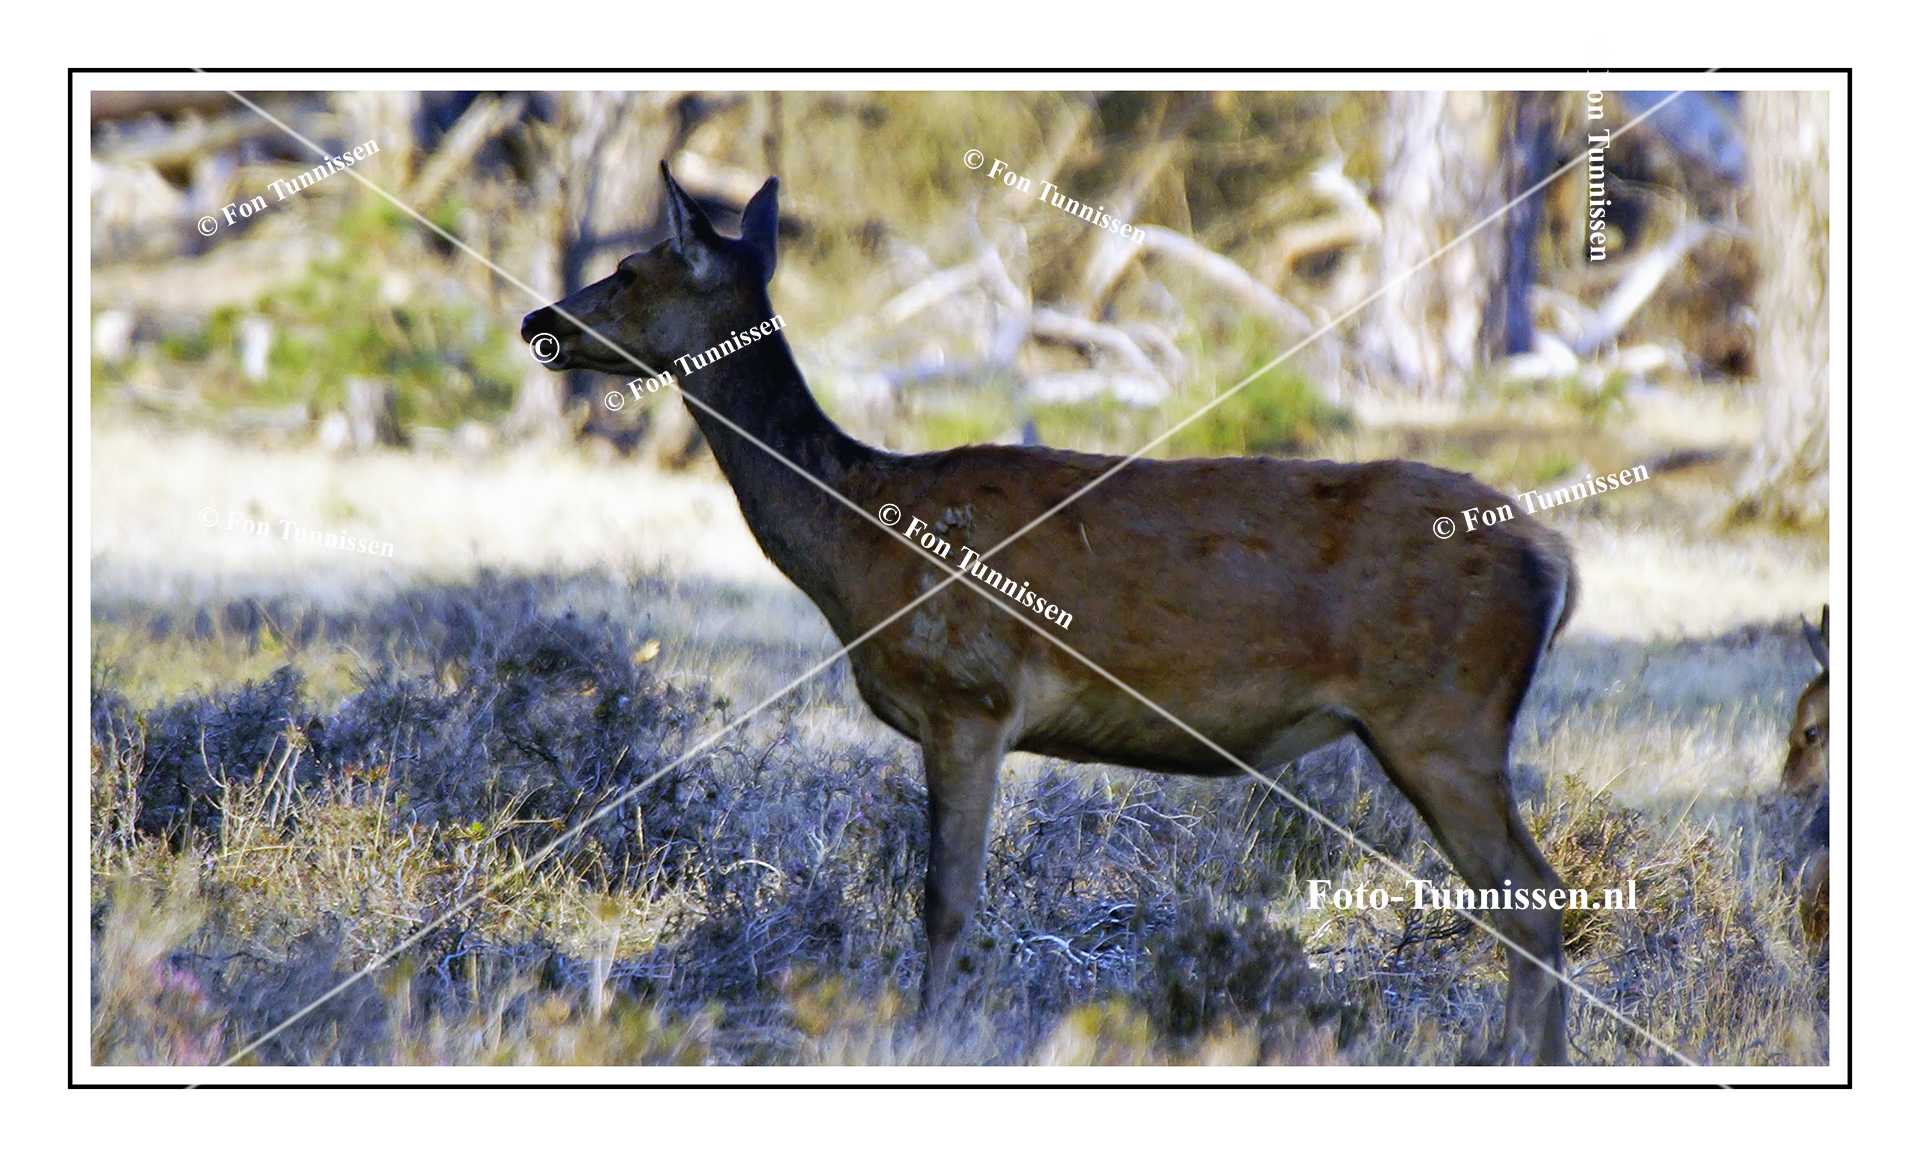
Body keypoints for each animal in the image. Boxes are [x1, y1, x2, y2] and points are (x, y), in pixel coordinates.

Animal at [529, 165, 1589, 1066]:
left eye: (630, 269)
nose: (539, 318)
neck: (858, 541)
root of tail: (1556, 561)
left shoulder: (968, 697)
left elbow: (946, 900)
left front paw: (929, 1037)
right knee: (1528, 906)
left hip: (1442, 717)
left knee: (1535, 903)